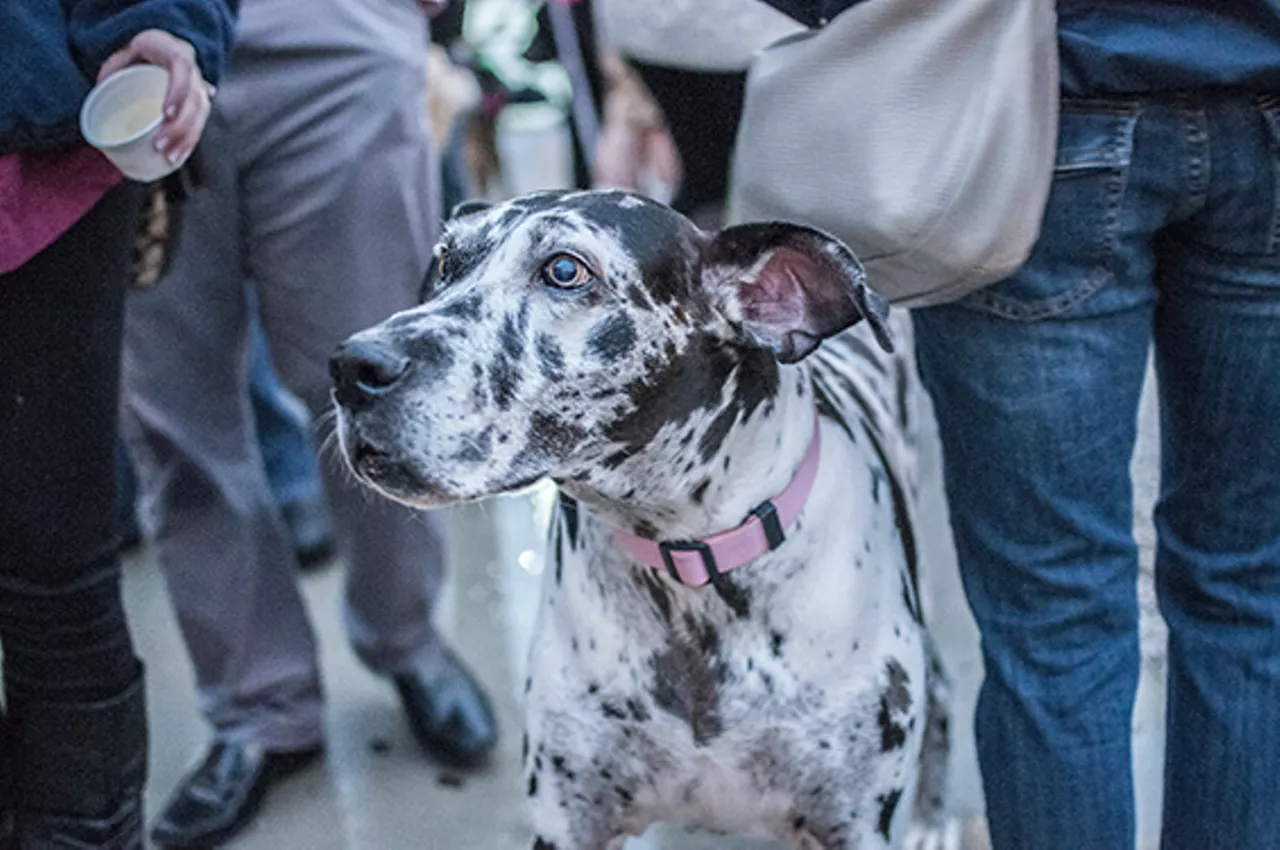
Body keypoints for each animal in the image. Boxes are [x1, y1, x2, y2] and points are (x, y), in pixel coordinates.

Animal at [335, 192, 957, 850]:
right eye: (444, 261)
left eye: (564, 270)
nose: (351, 367)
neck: (687, 569)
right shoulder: (568, 821)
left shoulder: (851, 825)